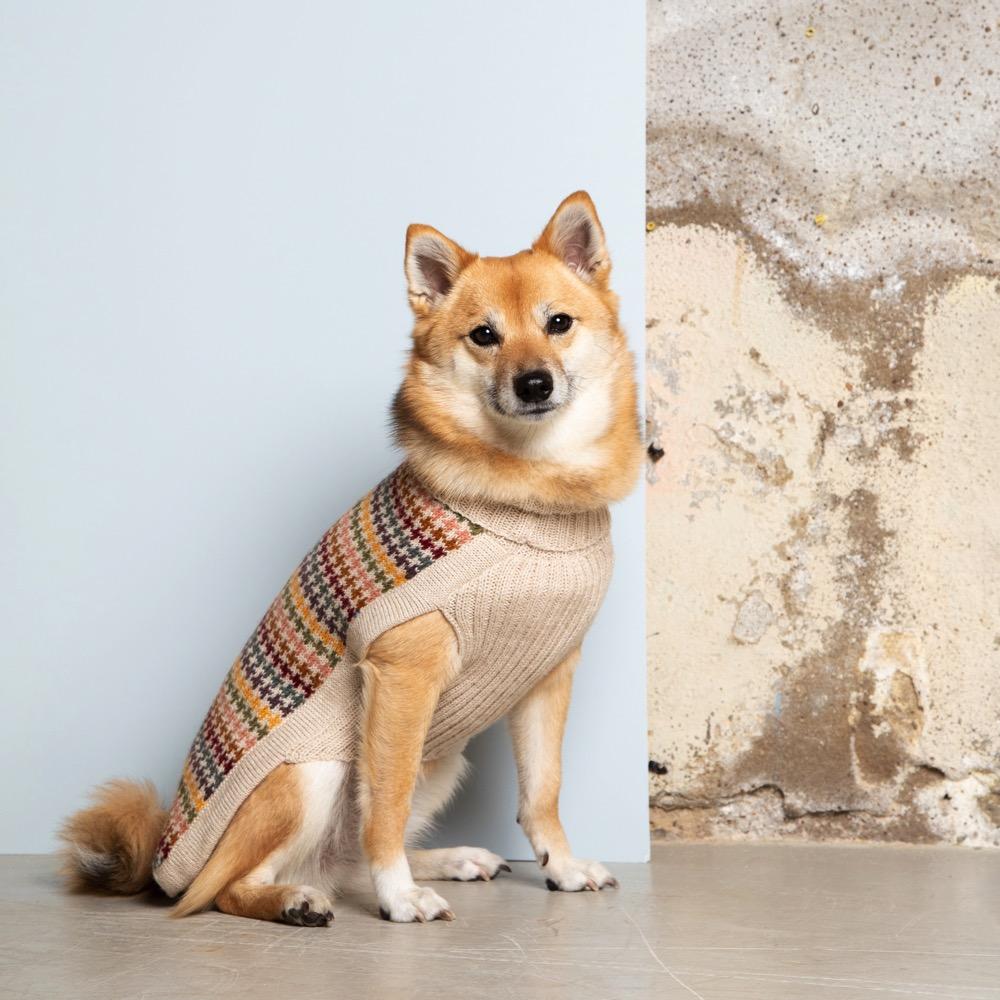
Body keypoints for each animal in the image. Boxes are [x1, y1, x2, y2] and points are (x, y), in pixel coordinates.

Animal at [60, 191, 640, 924]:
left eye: (557, 323)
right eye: (484, 336)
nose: (535, 383)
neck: (529, 493)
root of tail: (163, 865)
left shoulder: (547, 675)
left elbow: (543, 791)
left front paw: (560, 869)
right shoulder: (401, 678)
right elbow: (383, 806)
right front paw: (401, 898)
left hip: (439, 760)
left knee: (346, 860)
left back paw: (447, 860)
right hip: (314, 772)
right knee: (224, 891)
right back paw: (295, 901)